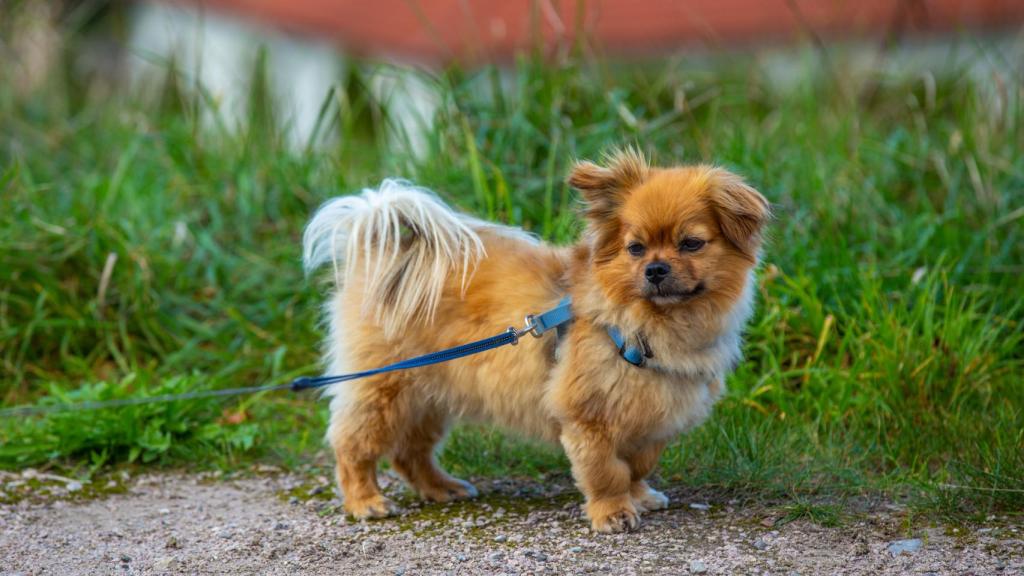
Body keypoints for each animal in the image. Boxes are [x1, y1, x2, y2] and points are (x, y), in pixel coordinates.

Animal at [301, 146, 770, 528]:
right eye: (635, 249)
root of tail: (383, 253)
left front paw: (639, 496)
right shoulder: (586, 417)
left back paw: (442, 488)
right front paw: (613, 512)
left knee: (409, 452)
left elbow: (636, 466)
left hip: (430, 392)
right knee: (353, 445)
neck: (647, 324)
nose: (655, 269)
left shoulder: (651, 423)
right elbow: (605, 471)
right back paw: (365, 501)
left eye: (691, 244)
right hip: (384, 389)